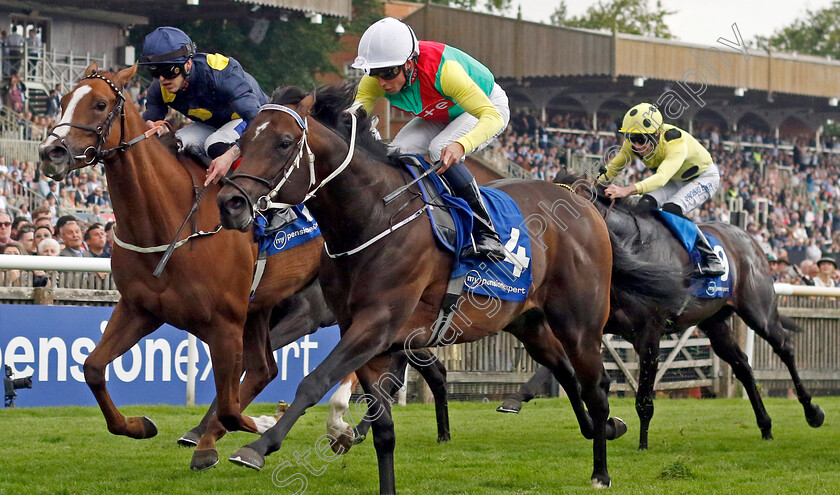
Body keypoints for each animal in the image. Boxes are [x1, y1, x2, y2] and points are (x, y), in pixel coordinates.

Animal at [213, 83, 684, 490]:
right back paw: (603, 427)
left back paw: (601, 470)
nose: (230, 202)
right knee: (567, 373)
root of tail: (583, 202)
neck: (374, 217)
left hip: (580, 322)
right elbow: (383, 428)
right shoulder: (363, 332)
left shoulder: (378, 323)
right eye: (244, 138)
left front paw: (258, 445)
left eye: (284, 142)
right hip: (528, 322)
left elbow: (314, 381)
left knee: (596, 386)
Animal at [502, 174, 824, 450]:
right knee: (742, 365)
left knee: (784, 347)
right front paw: (515, 399)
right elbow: (557, 368)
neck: (631, 247)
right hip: (715, 322)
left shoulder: (649, 332)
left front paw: (642, 444)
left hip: (758, 309)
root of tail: (747, 237)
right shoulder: (595, 327)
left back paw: (812, 412)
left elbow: (644, 396)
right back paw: (766, 425)